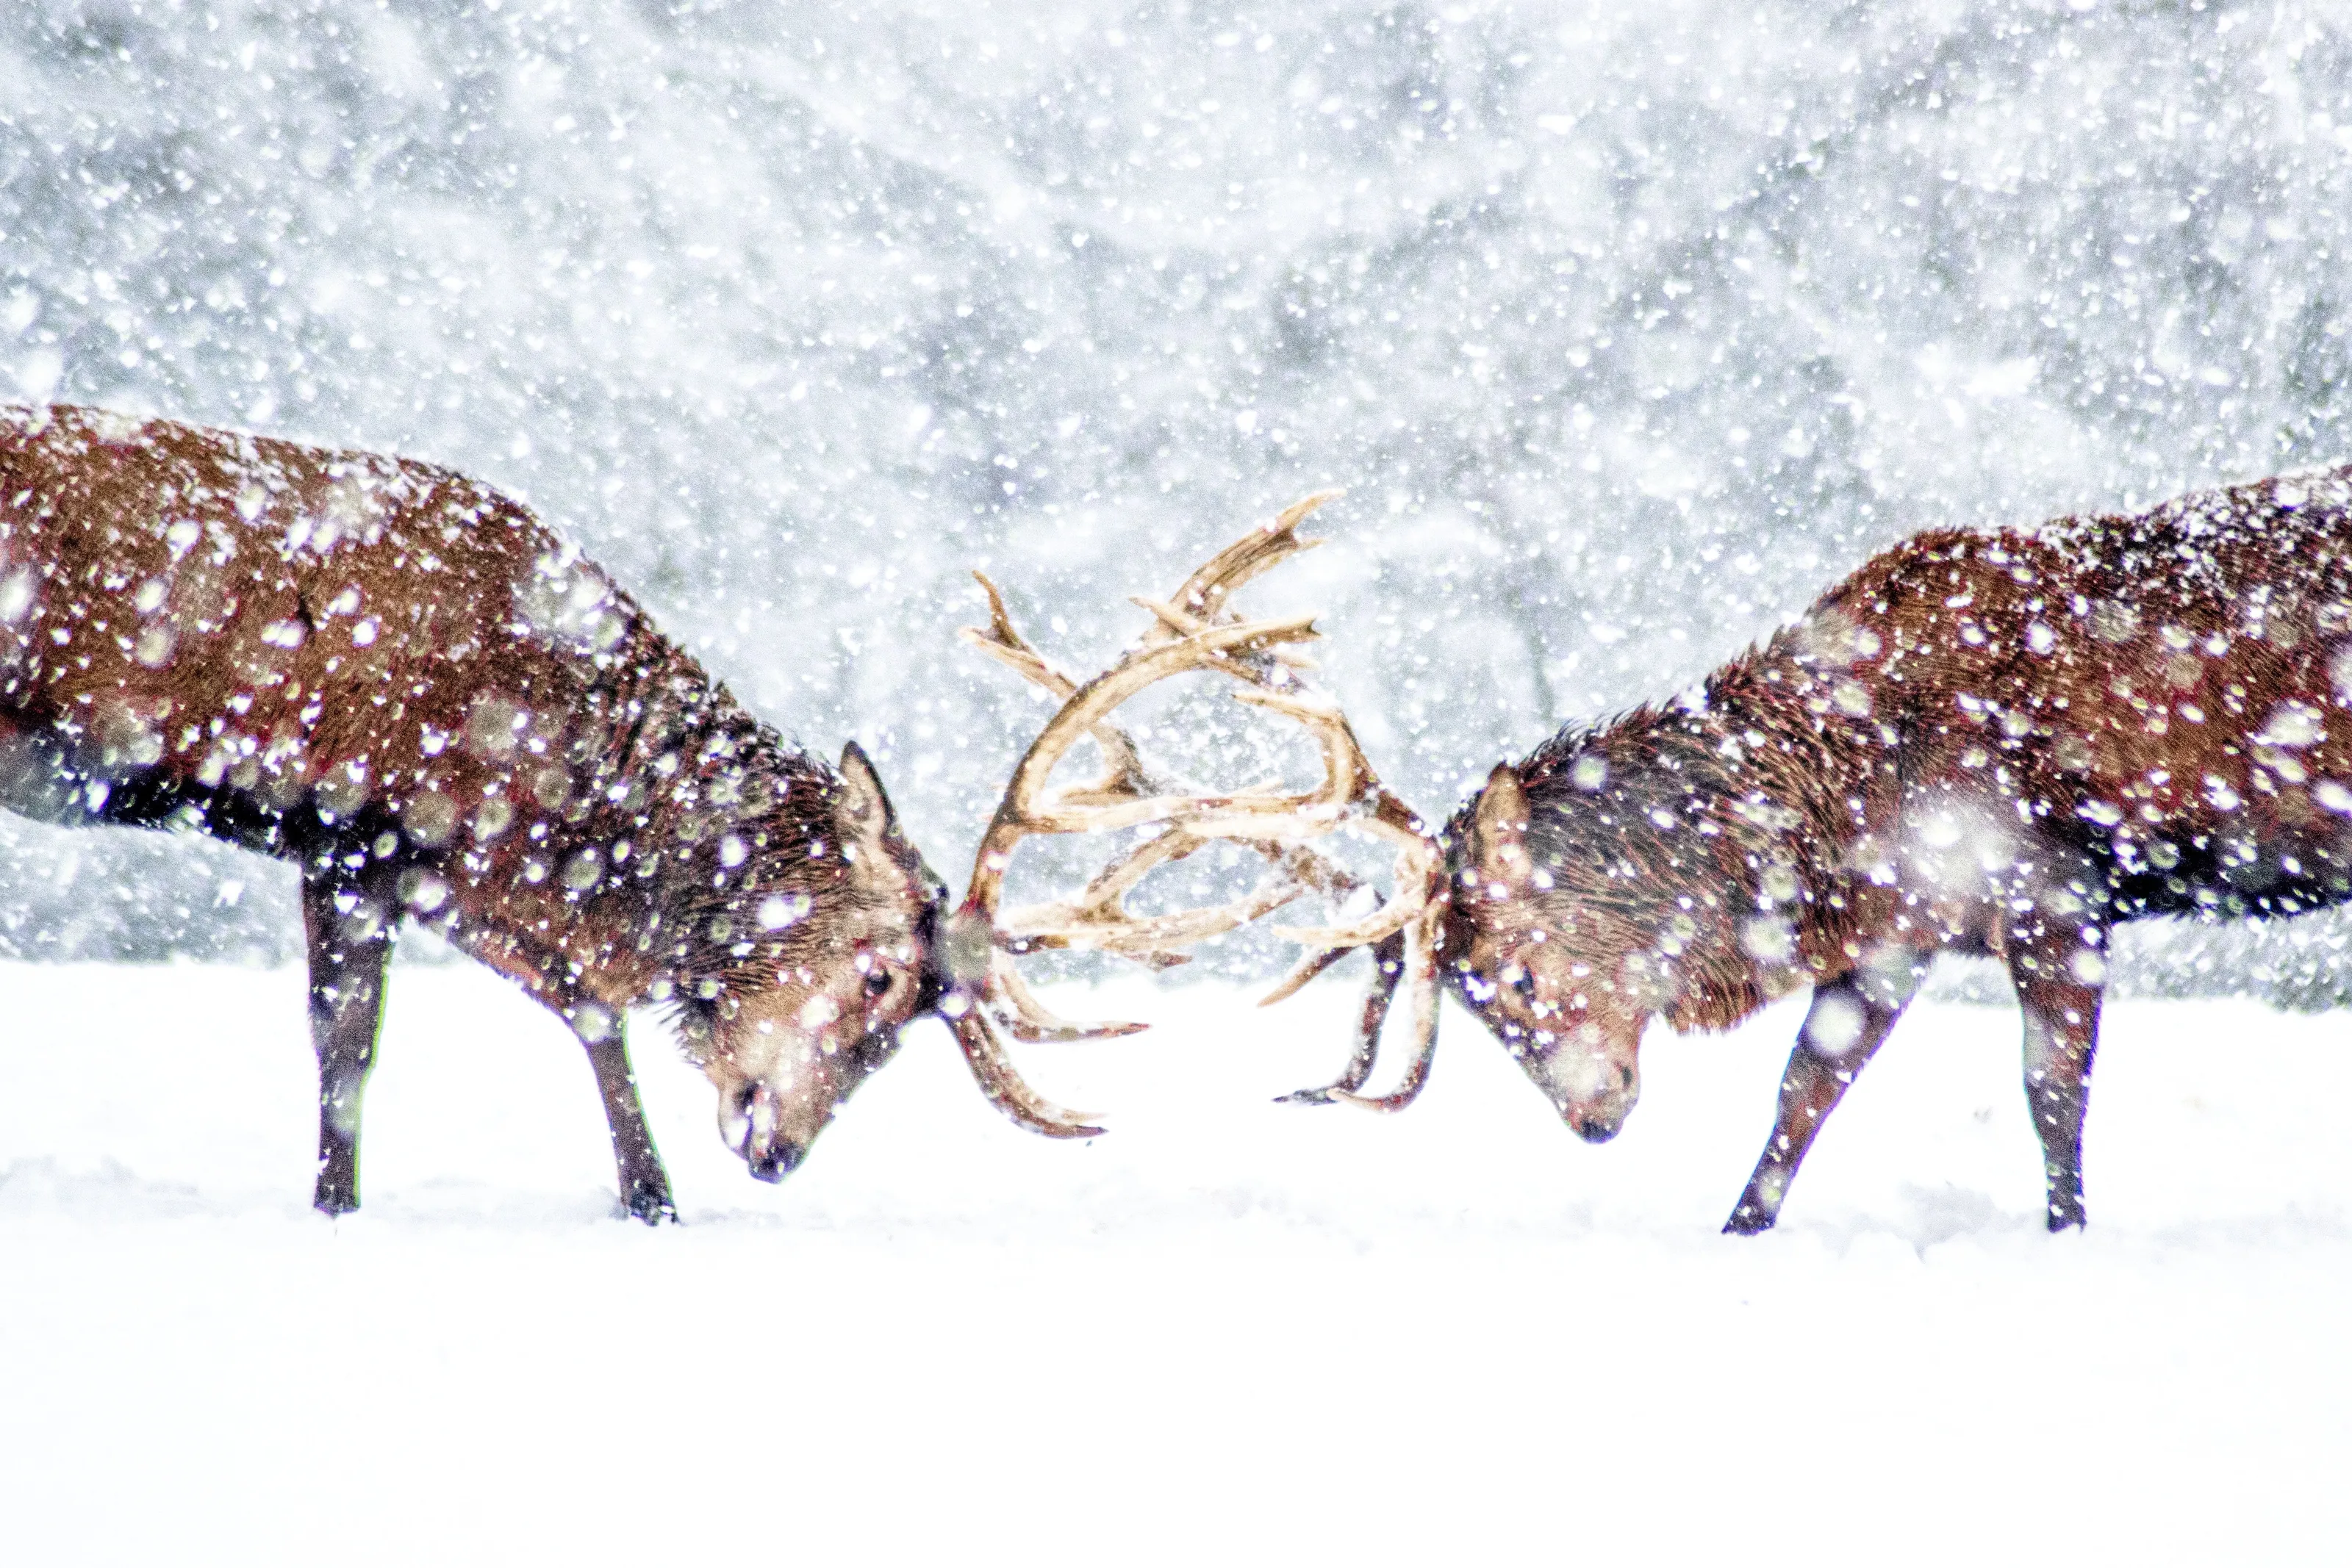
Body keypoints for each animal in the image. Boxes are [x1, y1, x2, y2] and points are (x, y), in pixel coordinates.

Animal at [0, 402, 1107, 1221]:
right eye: (880, 976)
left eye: (914, 1017)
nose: (780, 1151)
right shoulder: (354, 829)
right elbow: (347, 1047)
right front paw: (336, 1210)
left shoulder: (418, 861)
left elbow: (584, 1007)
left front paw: (651, 1200)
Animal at [1328, 466, 2352, 1233]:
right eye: (1477, 1010)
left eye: (1517, 979)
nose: (1591, 1119)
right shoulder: (1899, 929)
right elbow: (1803, 1087)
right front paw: (1738, 1227)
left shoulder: (2054, 890)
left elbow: (2051, 1092)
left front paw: (2065, 1230)